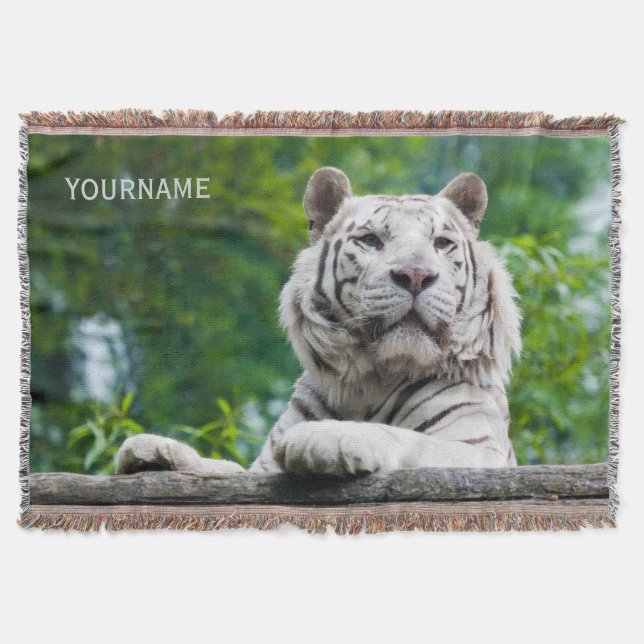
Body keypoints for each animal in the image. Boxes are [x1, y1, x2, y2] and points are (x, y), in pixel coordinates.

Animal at [116, 167, 521, 477]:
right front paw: (153, 450)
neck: (373, 378)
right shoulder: (260, 470)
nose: (416, 275)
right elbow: (225, 467)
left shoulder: (478, 450)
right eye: (370, 240)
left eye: (441, 243)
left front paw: (326, 437)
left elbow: (409, 439)